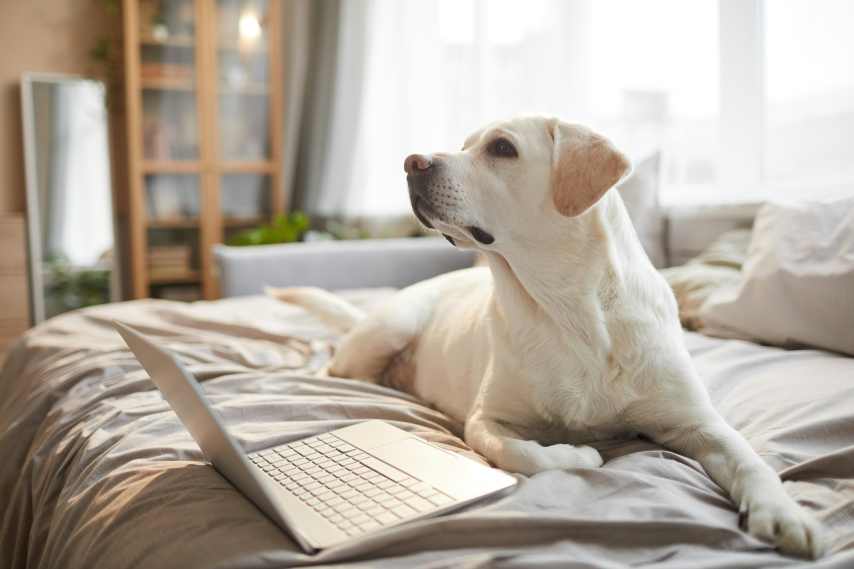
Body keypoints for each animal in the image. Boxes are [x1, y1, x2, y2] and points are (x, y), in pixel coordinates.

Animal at [272, 116, 824, 560]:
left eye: (501, 148)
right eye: (464, 143)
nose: (411, 162)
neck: (568, 309)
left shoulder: (698, 422)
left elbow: (751, 462)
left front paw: (785, 514)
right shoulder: (486, 420)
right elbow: (528, 454)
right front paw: (579, 456)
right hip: (388, 330)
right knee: (332, 365)